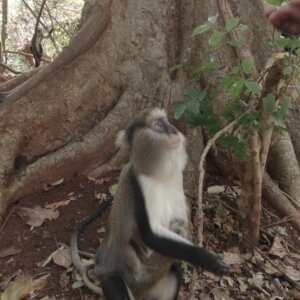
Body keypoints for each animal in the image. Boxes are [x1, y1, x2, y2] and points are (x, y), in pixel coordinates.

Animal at [70, 108, 230, 300]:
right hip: (112, 276)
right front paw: (207, 259)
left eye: (167, 122)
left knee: (174, 271)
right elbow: (150, 234)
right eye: (158, 125)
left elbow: (179, 223)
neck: (157, 174)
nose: (175, 131)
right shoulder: (140, 184)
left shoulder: (176, 177)